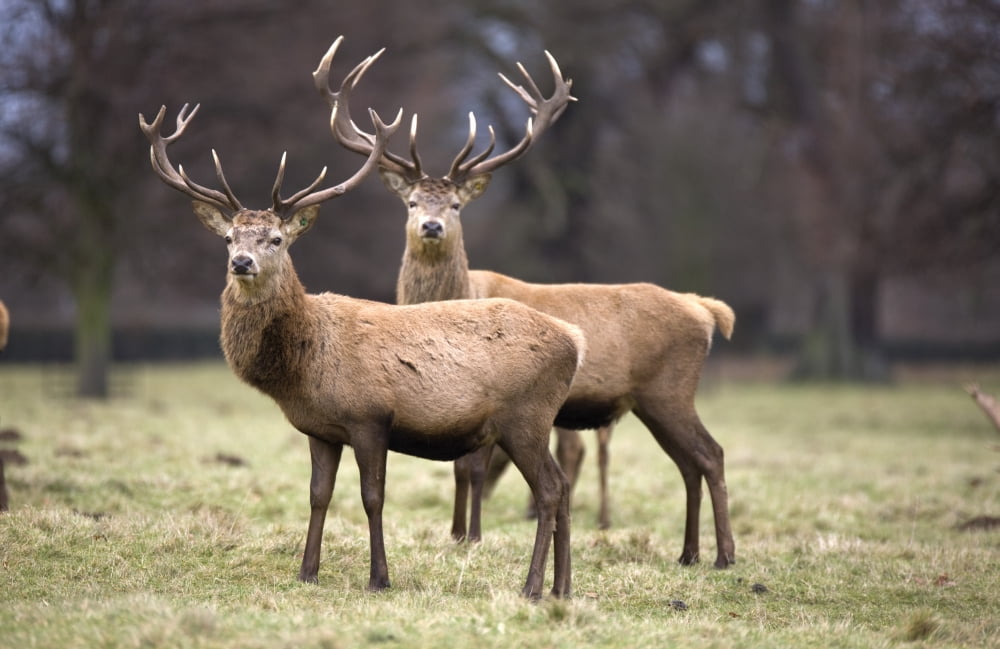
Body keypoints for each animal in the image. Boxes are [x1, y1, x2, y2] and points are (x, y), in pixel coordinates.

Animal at [138, 88, 586, 598]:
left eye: (276, 238)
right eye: (230, 237)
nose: (242, 263)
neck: (305, 363)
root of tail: (574, 341)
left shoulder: (370, 418)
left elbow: (373, 497)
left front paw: (379, 578)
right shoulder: (320, 428)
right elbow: (318, 496)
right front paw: (307, 572)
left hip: (525, 416)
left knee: (549, 489)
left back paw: (532, 587)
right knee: (562, 487)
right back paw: (561, 588)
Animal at [315, 39, 737, 569]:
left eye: (456, 205)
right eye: (411, 203)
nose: (431, 226)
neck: (460, 294)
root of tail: (705, 310)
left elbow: (472, 468)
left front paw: (470, 536)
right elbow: (460, 467)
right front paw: (456, 532)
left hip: (670, 388)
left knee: (710, 453)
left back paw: (724, 556)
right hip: (652, 400)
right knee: (689, 463)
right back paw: (688, 553)